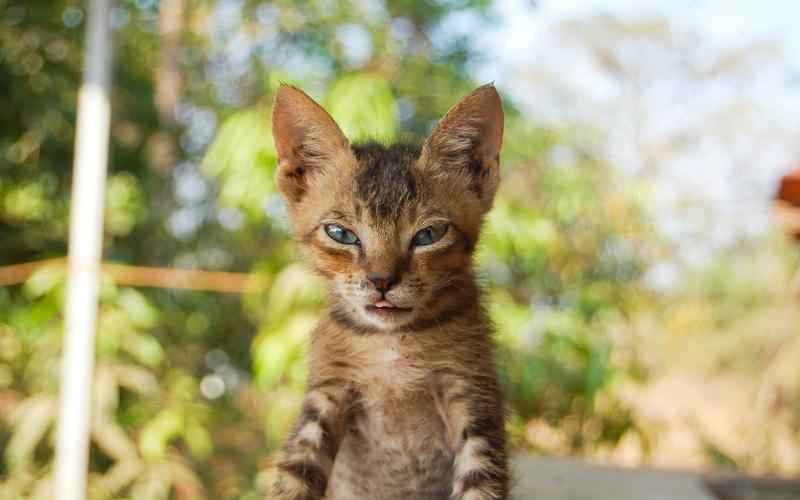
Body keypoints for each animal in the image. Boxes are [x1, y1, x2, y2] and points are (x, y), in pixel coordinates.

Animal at [268, 84, 506, 498]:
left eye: (429, 235)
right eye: (341, 233)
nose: (381, 281)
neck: (391, 344)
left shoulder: (473, 393)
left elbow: (481, 482)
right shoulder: (328, 392)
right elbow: (294, 474)